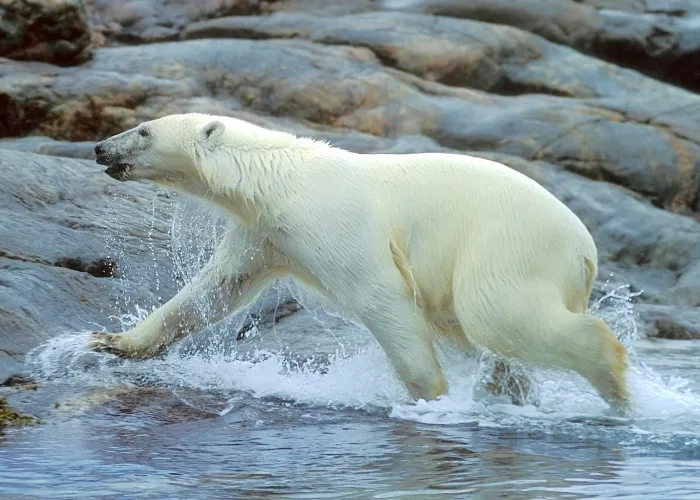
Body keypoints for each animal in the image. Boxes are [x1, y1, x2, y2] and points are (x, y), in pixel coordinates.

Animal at [90, 113, 632, 410]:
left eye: (143, 131)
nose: (99, 147)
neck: (277, 178)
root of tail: (586, 251)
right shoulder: (265, 232)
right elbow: (218, 287)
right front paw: (112, 341)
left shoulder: (332, 221)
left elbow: (380, 295)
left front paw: (431, 396)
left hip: (509, 244)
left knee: (495, 313)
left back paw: (612, 380)